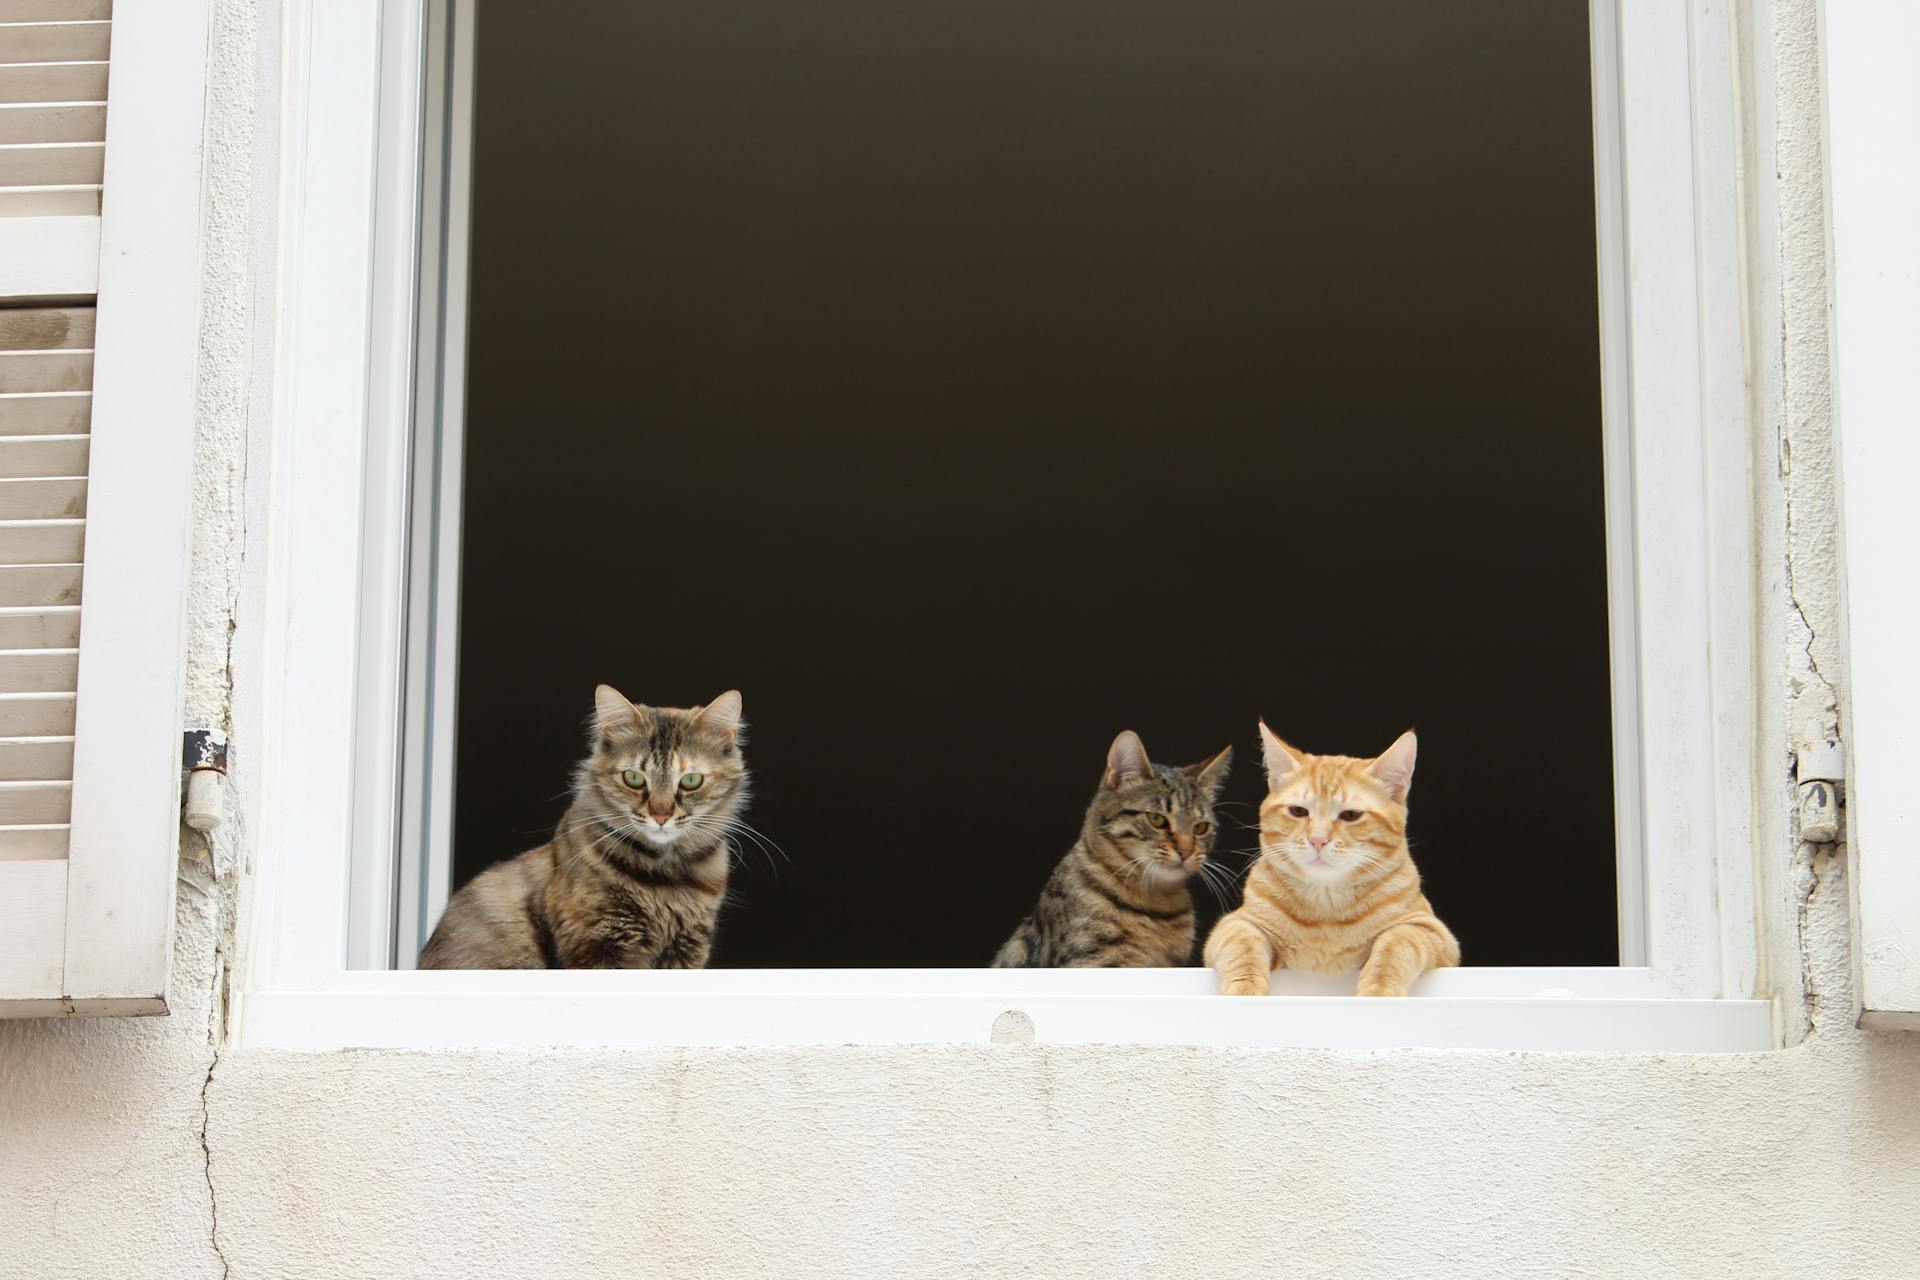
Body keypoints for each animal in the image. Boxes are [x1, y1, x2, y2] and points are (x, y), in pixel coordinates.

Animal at [420, 690, 748, 971]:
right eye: (633, 778)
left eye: (691, 780)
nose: (661, 816)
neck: (665, 877)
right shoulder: (596, 942)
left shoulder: (687, 947)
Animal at [1205, 725, 1459, 997]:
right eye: (1298, 811)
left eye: (1351, 815)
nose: (1317, 839)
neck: (1326, 908)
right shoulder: (1237, 923)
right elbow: (1243, 949)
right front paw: (1244, 992)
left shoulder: (1430, 931)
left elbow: (1395, 945)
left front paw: (1378, 992)